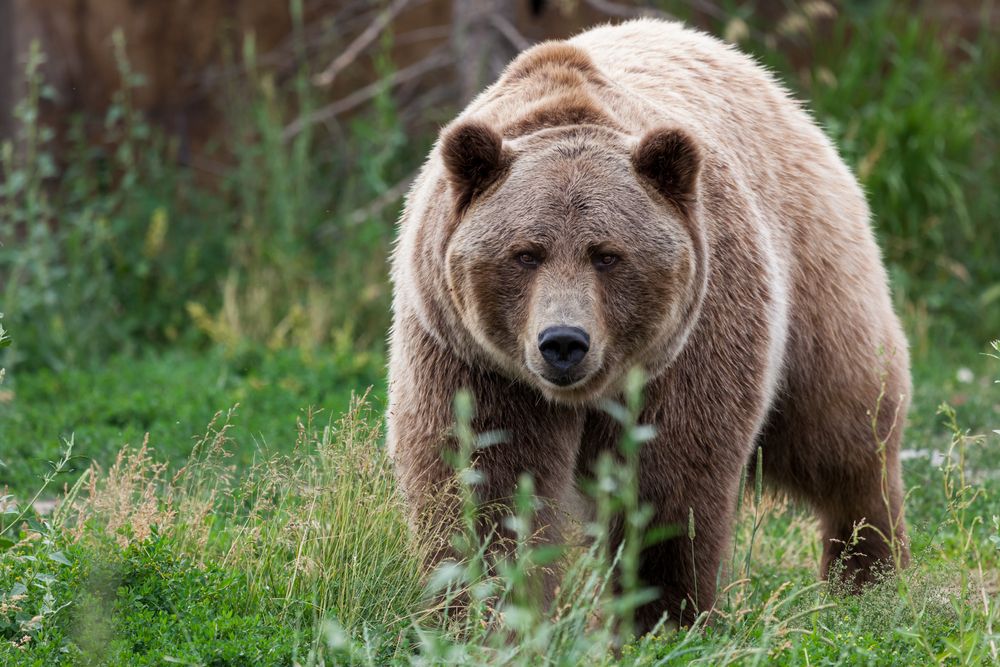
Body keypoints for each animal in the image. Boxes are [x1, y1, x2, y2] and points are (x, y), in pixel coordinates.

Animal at [386, 17, 912, 632]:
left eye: (607, 255)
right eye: (526, 253)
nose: (563, 343)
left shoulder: (693, 341)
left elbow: (670, 480)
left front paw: (663, 615)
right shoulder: (474, 360)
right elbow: (485, 482)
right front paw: (481, 615)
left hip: (817, 280)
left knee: (847, 433)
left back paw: (871, 578)